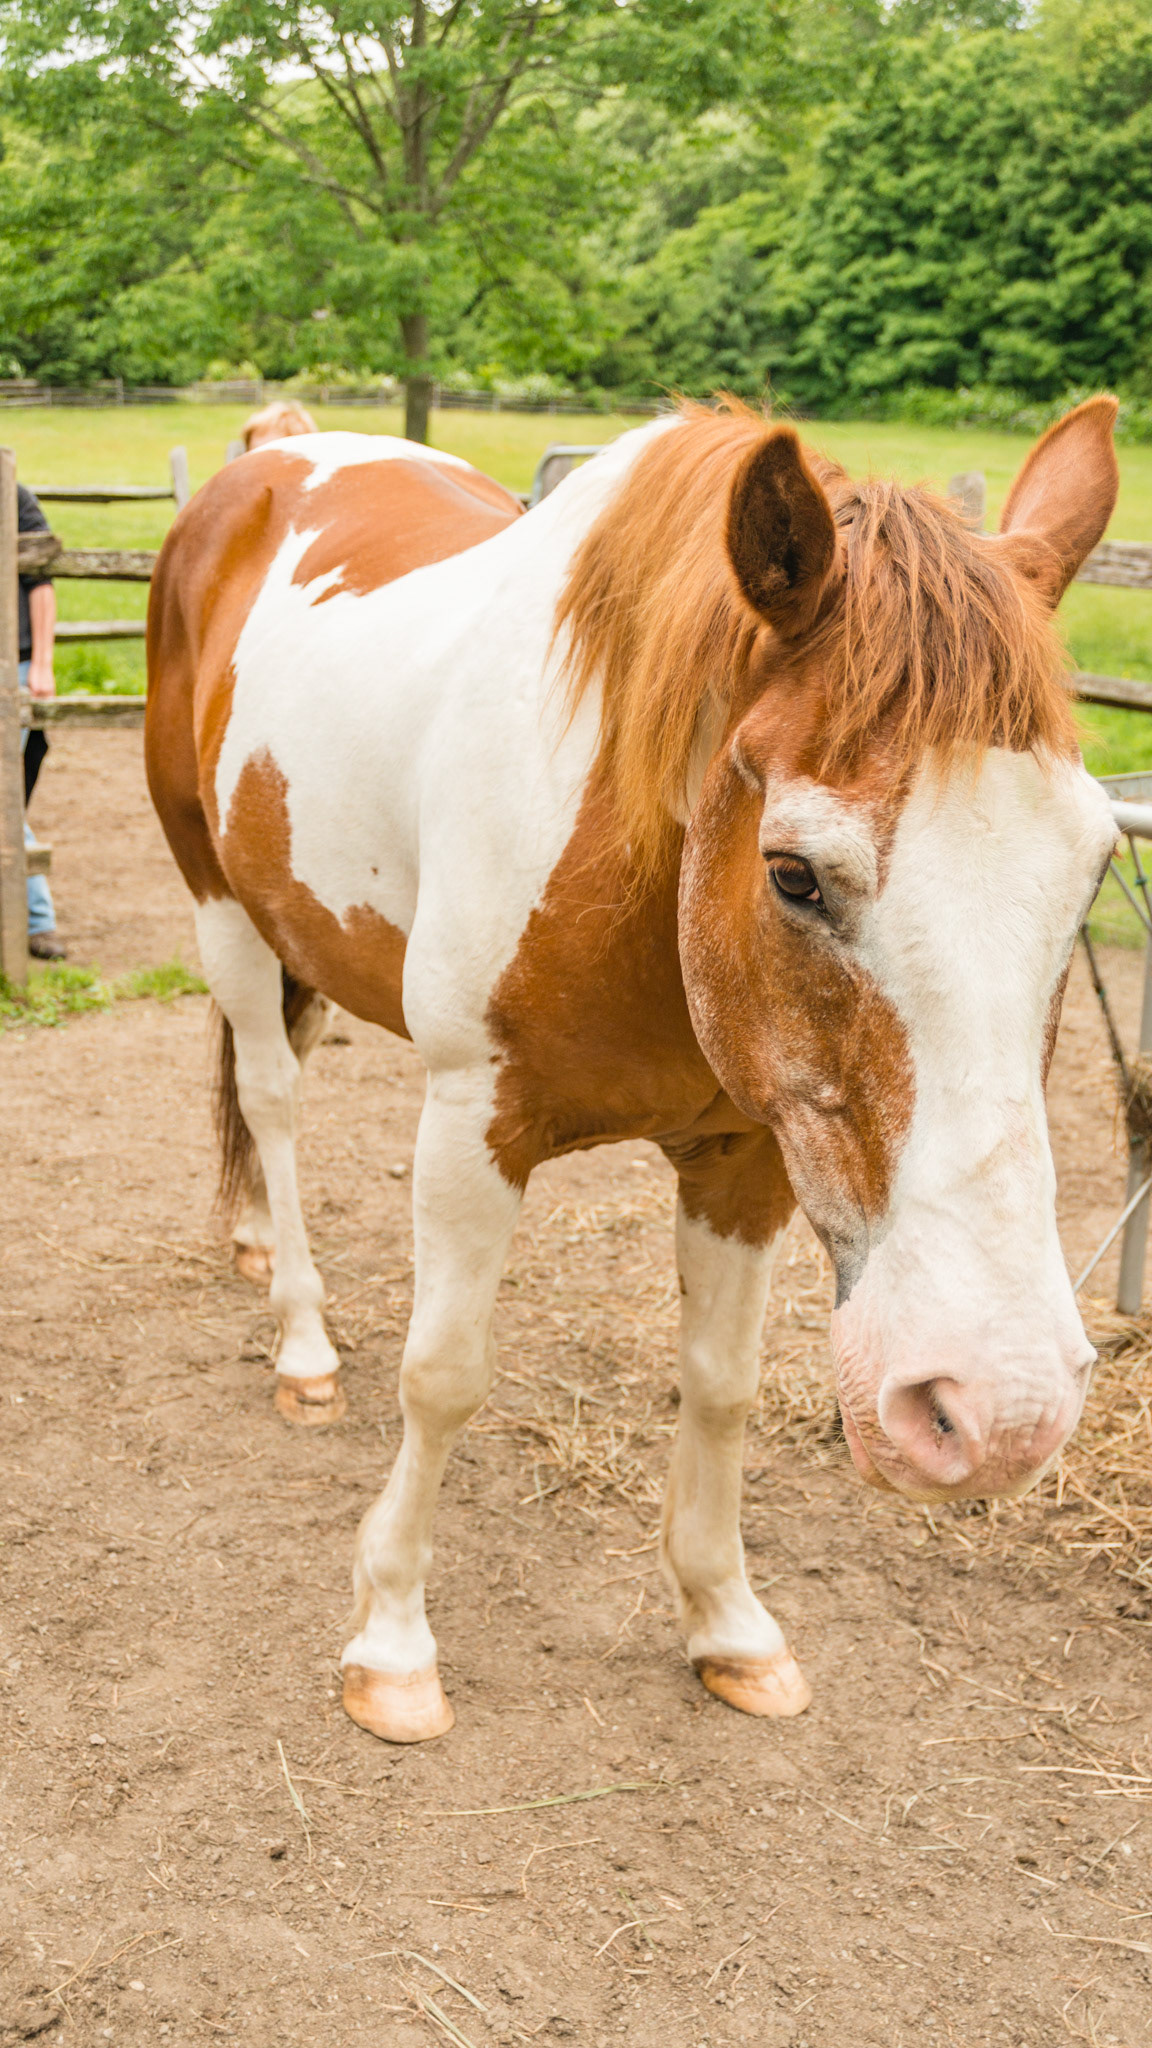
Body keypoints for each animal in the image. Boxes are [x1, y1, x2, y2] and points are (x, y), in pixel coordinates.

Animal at [145, 398, 1120, 1744]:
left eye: (1094, 866)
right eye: (794, 872)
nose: (1000, 1407)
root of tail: (271, 448)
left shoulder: (747, 1154)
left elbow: (720, 1383)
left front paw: (728, 1619)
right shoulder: (475, 1120)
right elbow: (442, 1376)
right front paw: (391, 1640)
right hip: (217, 901)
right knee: (271, 1098)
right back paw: (301, 1340)